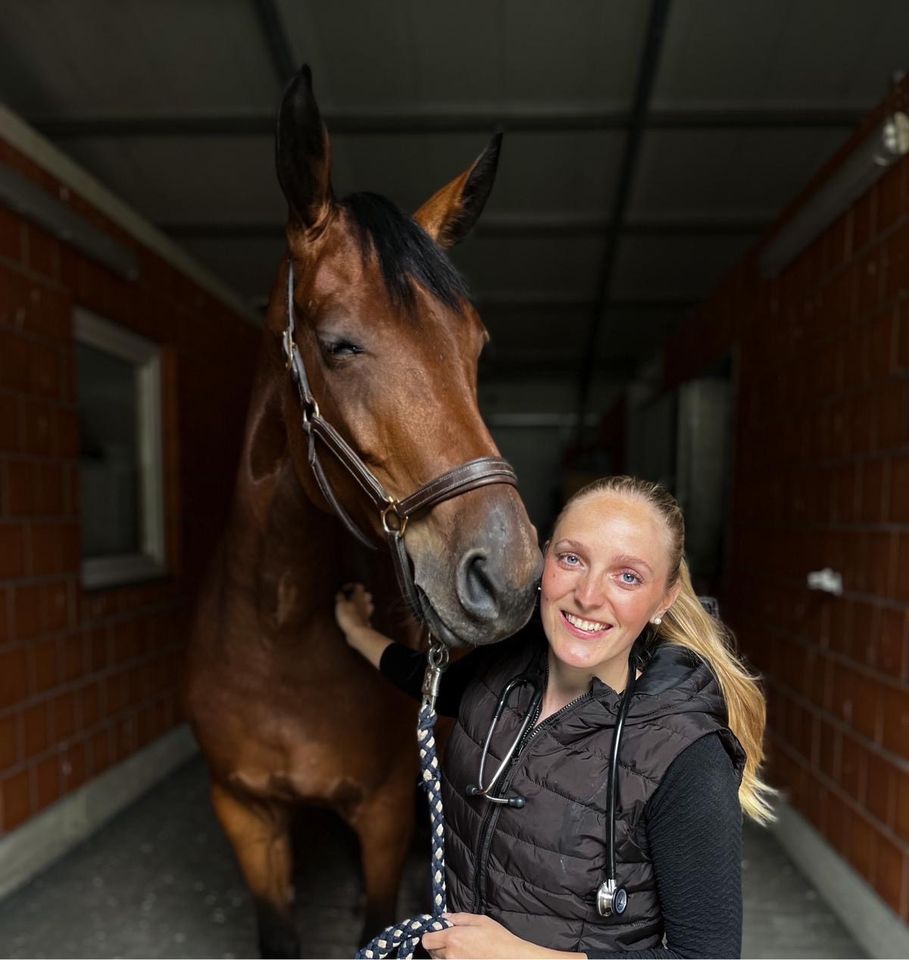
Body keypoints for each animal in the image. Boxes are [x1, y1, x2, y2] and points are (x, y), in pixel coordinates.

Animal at [181, 67, 544, 960]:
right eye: (338, 344)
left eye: (476, 348)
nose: (509, 575)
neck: (277, 638)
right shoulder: (245, 817)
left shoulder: (380, 813)